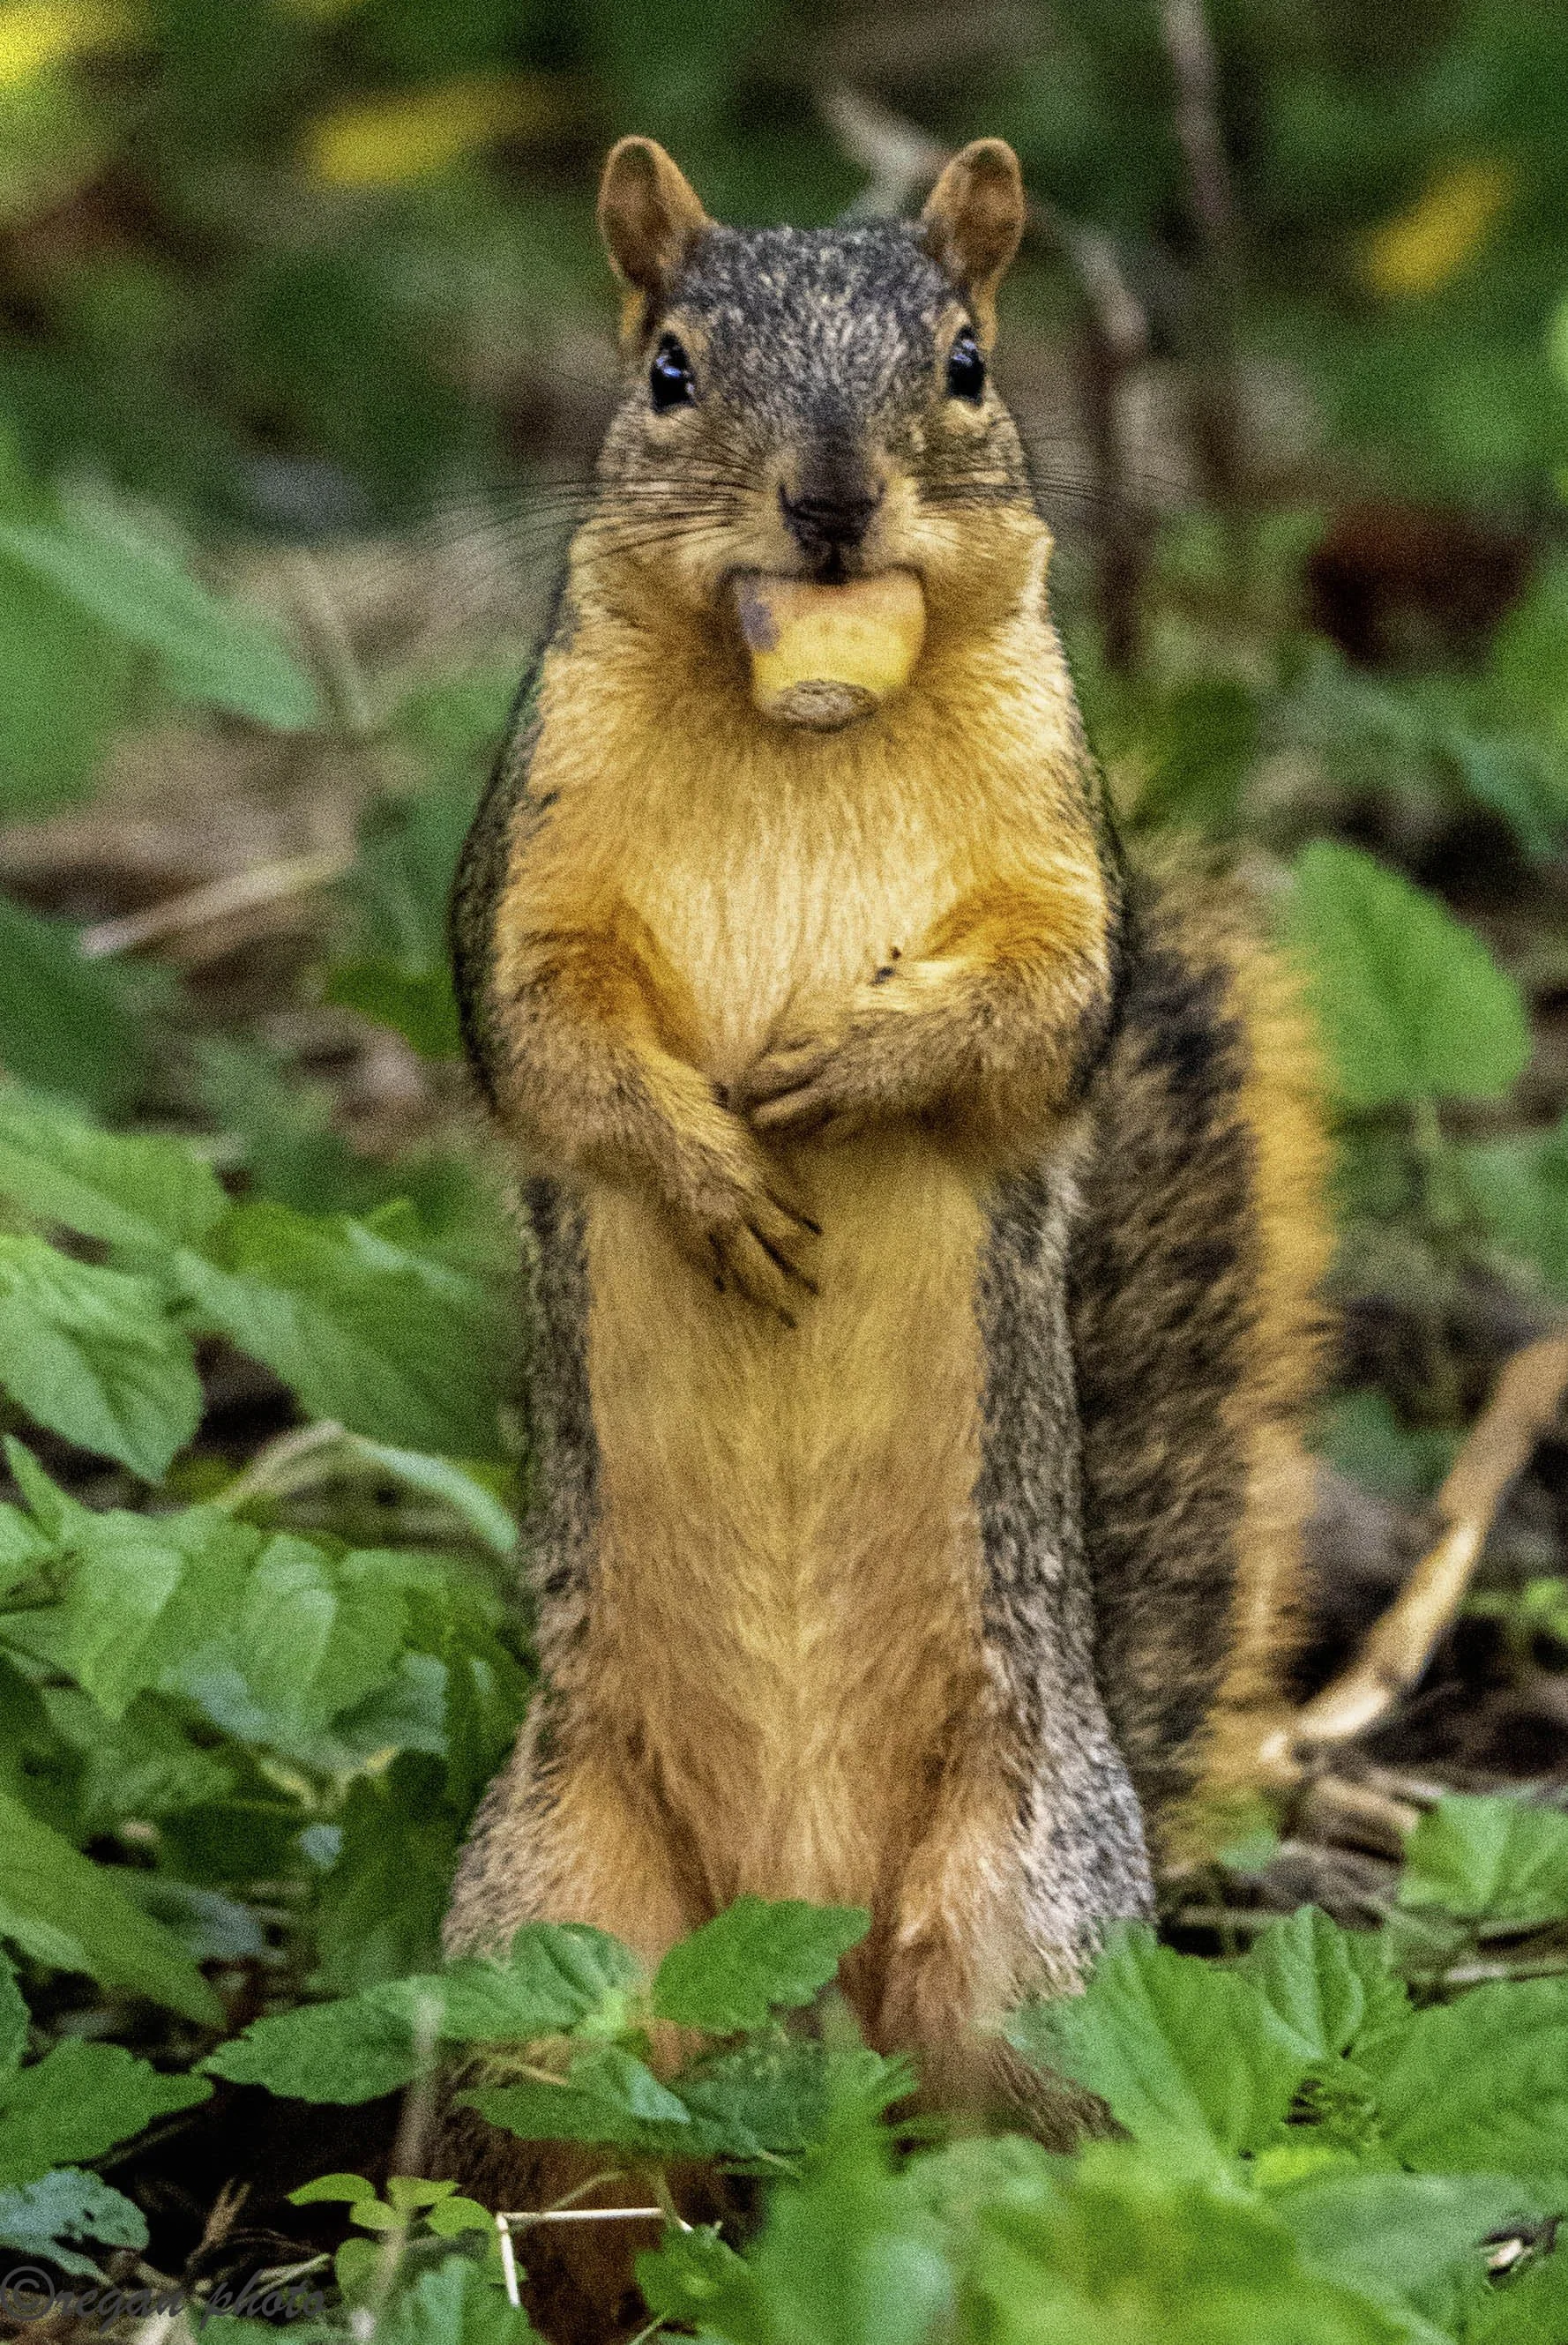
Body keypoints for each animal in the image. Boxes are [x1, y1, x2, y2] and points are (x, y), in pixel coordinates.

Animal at [443, 134, 1330, 2156]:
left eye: (967, 364)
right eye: (668, 369)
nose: (834, 500)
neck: (801, 721)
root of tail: (814, 1967)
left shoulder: (1057, 861)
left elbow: (1037, 1013)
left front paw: (849, 1068)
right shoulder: (527, 871)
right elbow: (549, 1041)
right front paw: (713, 1176)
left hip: (1032, 1924)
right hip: (551, 1937)